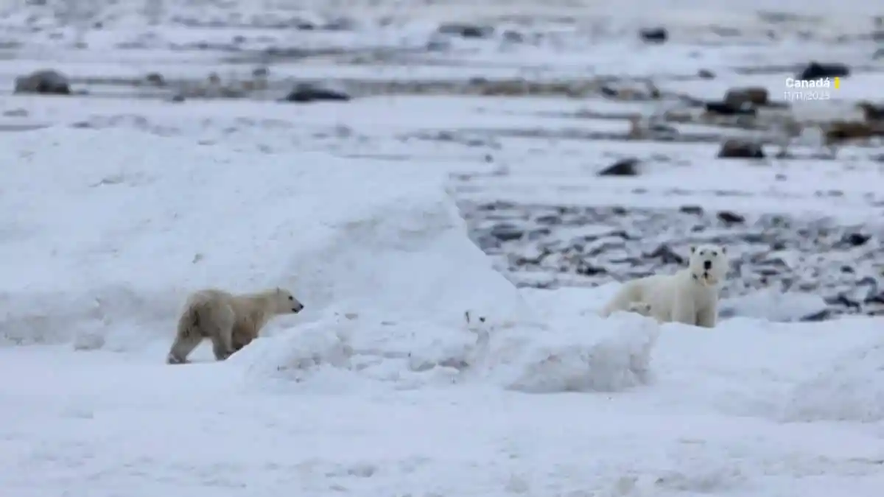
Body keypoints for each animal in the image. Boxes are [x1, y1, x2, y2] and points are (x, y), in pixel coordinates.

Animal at [167, 287, 304, 364]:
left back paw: (176, 359)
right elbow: (247, 334)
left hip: (191, 319)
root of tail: (197, 304)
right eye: (290, 297)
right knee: (222, 334)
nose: (301, 305)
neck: (263, 302)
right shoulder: (249, 318)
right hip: (220, 314)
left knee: (186, 337)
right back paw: (227, 353)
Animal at [599, 244, 728, 328]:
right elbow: (684, 317)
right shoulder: (684, 296)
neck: (699, 286)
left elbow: (706, 318)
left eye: (715, 253)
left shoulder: (709, 298)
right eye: (701, 252)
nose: (707, 263)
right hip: (630, 293)